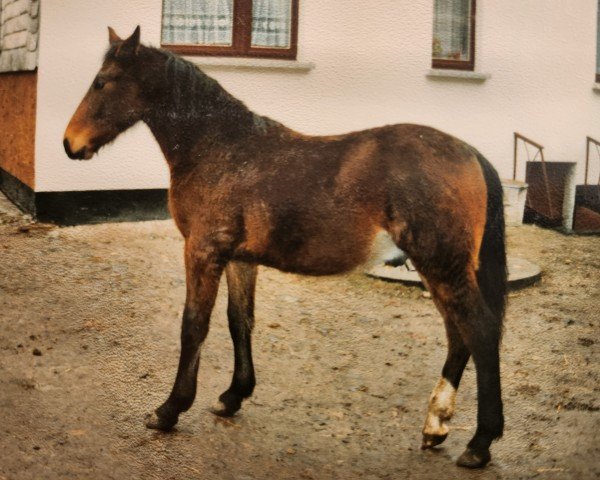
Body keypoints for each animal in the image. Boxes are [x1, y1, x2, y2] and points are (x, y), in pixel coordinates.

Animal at [64, 27, 506, 468]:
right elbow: (239, 321)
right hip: (437, 268)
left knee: (480, 332)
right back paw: (436, 425)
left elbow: (194, 325)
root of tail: (471, 154)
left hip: (442, 265)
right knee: (458, 335)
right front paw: (232, 396)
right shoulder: (239, 259)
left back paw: (480, 442)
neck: (220, 148)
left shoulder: (202, 251)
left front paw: (169, 410)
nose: (70, 143)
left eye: (101, 82)